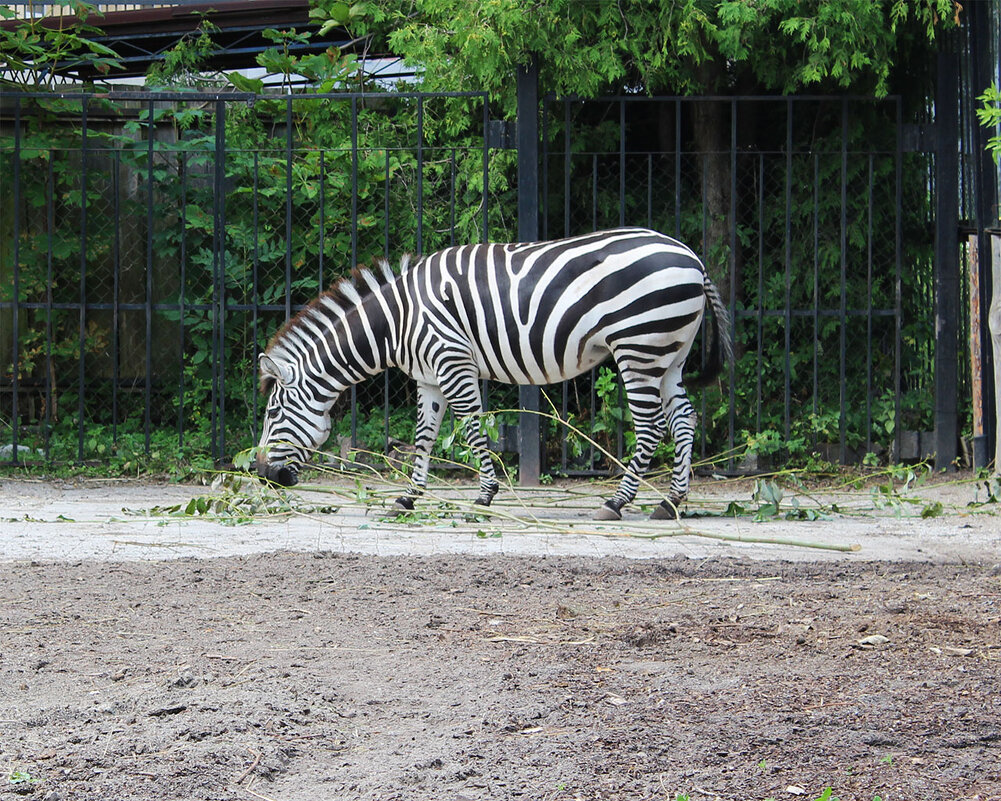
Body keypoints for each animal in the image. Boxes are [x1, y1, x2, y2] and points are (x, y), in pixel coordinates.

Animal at [254, 228, 732, 520]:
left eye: (273, 413)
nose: (262, 477)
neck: (397, 321)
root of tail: (692, 257)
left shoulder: (452, 361)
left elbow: (472, 430)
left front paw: (485, 494)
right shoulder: (428, 377)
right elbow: (424, 437)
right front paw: (407, 497)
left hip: (639, 348)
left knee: (651, 427)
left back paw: (616, 502)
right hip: (669, 354)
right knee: (684, 420)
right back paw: (671, 502)